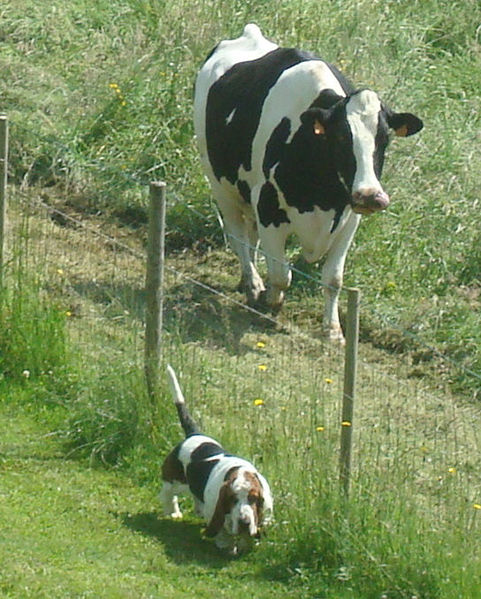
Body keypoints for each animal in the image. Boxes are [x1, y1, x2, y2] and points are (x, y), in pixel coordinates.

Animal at [193, 24, 422, 342]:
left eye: (385, 138)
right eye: (340, 137)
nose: (371, 196)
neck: (323, 197)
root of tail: (249, 33)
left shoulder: (349, 219)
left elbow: (334, 279)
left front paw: (333, 331)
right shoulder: (269, 209)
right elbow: (281, 275)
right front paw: (271, 303)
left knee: (249, 237)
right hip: (220, 183)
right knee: (238, 235)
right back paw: (252, 284)